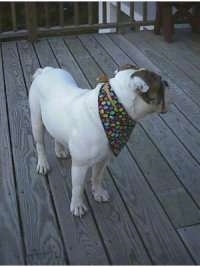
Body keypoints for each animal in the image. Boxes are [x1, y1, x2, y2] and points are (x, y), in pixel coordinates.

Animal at [28, 65, 170, 218]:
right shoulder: (80, 166)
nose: (167, 83)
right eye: (161, 84)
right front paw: (77, 205)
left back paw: (60, 150)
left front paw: (98, 192)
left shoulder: (103, 159)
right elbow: (78, 187)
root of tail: (46, 70)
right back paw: (43, 164)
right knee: (40, 145)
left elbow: (97, 177)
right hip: (36, 121)